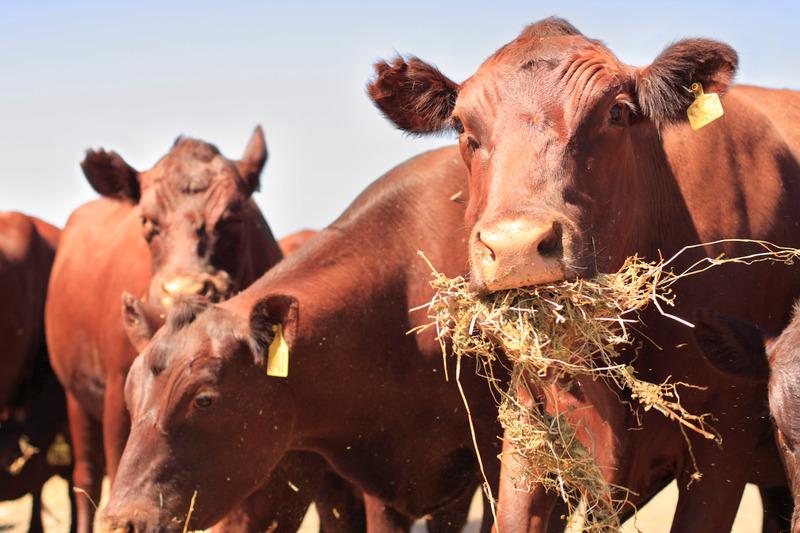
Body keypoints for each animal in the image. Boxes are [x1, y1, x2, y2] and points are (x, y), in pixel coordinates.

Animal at [45, 127, 284, 528]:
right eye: (146, 222)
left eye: (234, 215)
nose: (184, 289)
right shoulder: (119, 394)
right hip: (75, 395)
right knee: (86, 479)